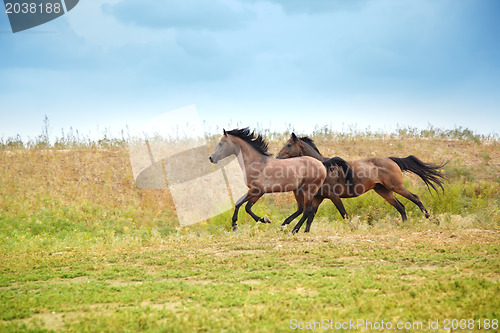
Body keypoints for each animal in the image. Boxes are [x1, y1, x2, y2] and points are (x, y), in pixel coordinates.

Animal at [276, 132, 448, 223]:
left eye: (288, 145)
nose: (277, 157)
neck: (324, 167)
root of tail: (391, 160)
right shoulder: (320, 197)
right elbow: (309, 214)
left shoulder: (333, 196)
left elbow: (344, 214)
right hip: (383, 190)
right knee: (401, 206)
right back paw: (405, 223)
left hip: (395, 186)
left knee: (415, 198)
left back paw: (430, 219)